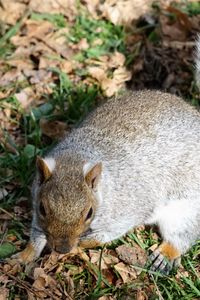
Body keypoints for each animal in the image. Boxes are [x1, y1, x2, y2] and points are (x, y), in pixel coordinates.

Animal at [13, 37, 200, 274]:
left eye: (89, 213)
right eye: (42, 208)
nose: (62, 249)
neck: (77, 157)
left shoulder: (127, 210)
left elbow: (105, 235)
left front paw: (82, 243)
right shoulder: (37, 195)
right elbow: (36, 233)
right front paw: (24, 255)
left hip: (186, 206)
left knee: (183, 233)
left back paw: (166, 255)